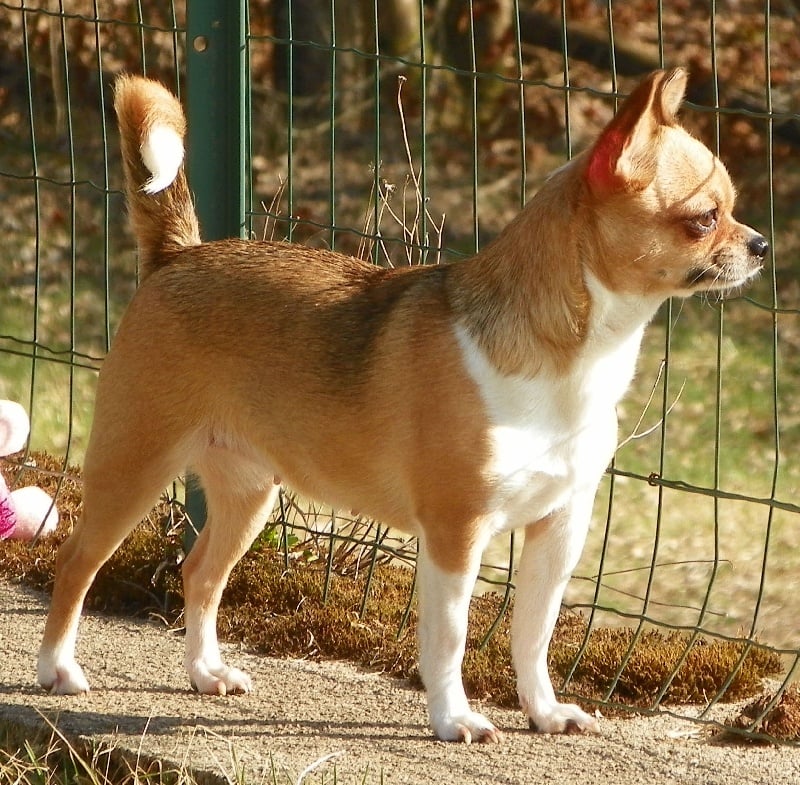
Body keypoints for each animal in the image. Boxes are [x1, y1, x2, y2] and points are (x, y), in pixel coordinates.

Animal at [39, 67, 768, 740]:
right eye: (703, 219)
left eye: (734, 209)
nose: (761, 244)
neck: (574, 356)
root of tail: (177, 255)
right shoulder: (455, 533)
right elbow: (449, 637)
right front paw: (454, 718)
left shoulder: (559, 528)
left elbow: (533, 634)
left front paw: (543, 711)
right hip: (134, 468)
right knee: (76, 562)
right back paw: (57, 668)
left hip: (249, 494)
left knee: (199, 574)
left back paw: (204, 672)